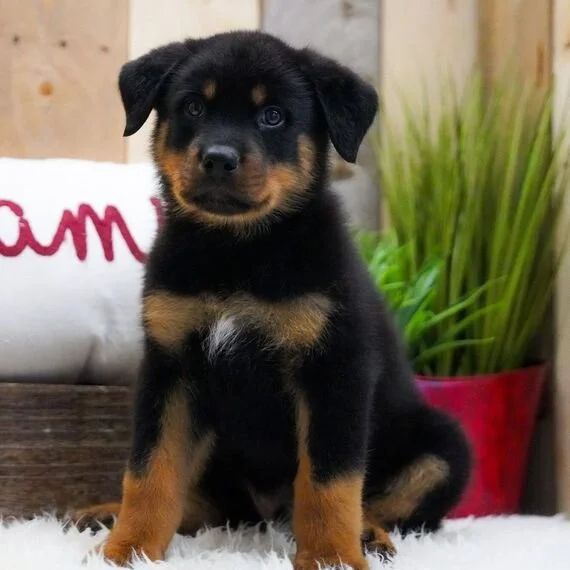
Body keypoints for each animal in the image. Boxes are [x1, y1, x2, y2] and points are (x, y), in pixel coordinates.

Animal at [73, 30, 472, 569]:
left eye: (274, 116)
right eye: (193, 106)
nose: (218, 158)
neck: (238, 252)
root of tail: (267, 516)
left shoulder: (334, 372)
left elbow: (330, 482)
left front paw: (330, 557)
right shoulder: (171, 370)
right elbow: (150, 472)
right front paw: (128, 549)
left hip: (445, 445)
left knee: (386, 506)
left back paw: (368, 535)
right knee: (209, 505)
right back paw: (105, 514)